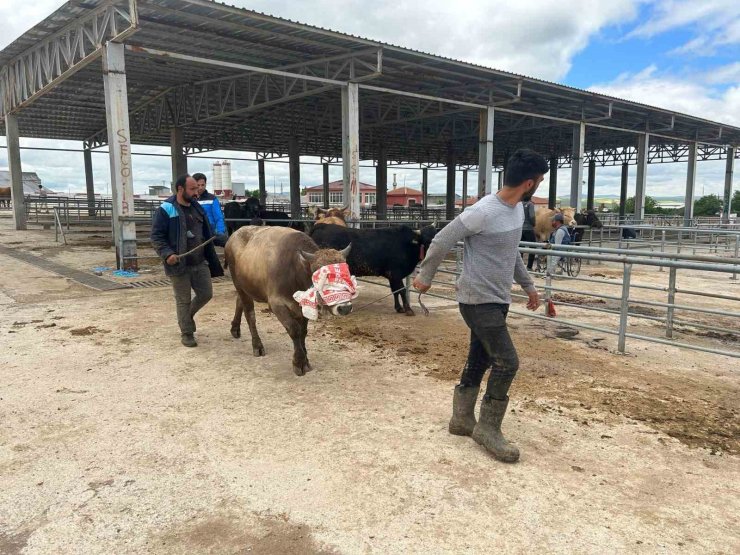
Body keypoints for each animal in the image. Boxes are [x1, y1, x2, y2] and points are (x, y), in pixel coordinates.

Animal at [225, 226, 352, 378]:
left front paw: (305, 358)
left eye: (346, 274)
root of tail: (236, 233)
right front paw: (299, 362)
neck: (296, 271)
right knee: (250, 315)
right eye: (321, 277)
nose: (345, 308)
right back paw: (257, 345)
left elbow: (303, 332)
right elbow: (294, 330)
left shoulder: (303, 306)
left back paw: (235, 328)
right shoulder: (276, 304)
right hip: (240, 286)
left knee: (239, 302)